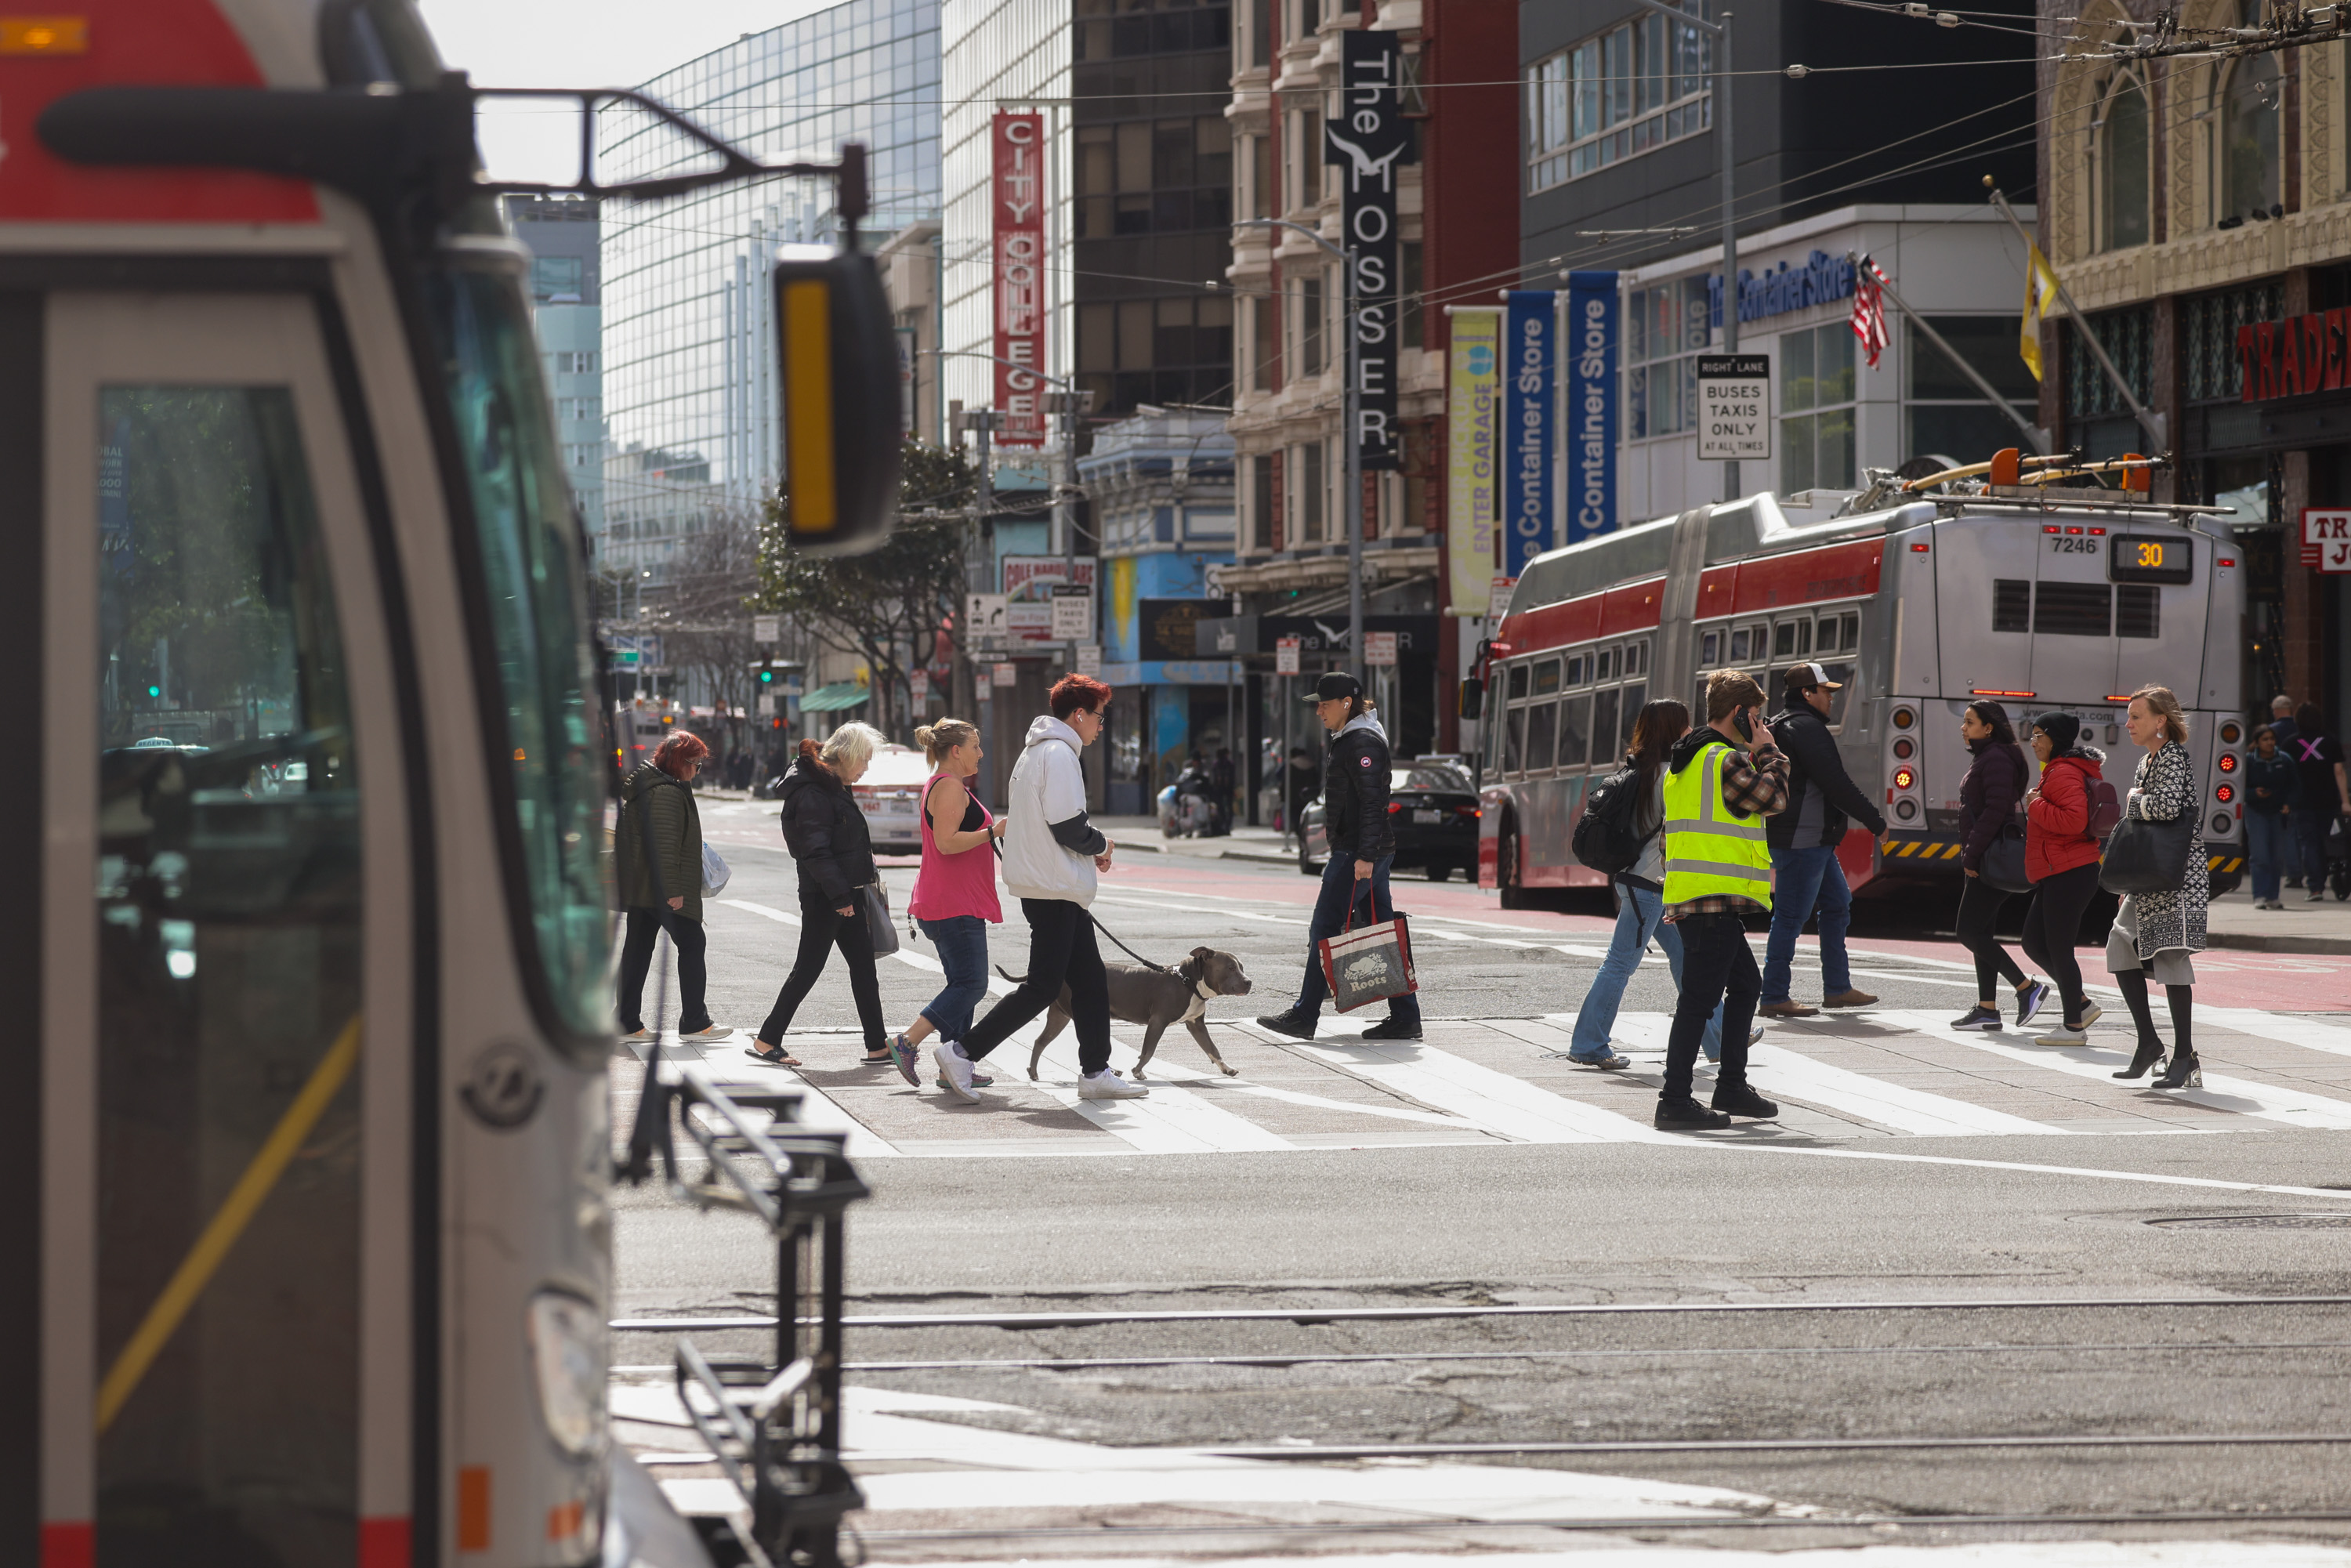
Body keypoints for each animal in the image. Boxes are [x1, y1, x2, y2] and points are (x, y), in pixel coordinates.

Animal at [1016, 945, 1260, 1081]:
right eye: (1230, 968)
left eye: (1242, 967)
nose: (1249, 982)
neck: (1188, 981)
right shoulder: (1158, 1021)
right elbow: (1148, 1051)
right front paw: (1137, 1071)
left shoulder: (1196, 1024)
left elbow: (1212, 1048)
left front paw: (1227, 1068)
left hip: (1060, 1015)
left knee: (1040, 1041)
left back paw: (1033, 1072)